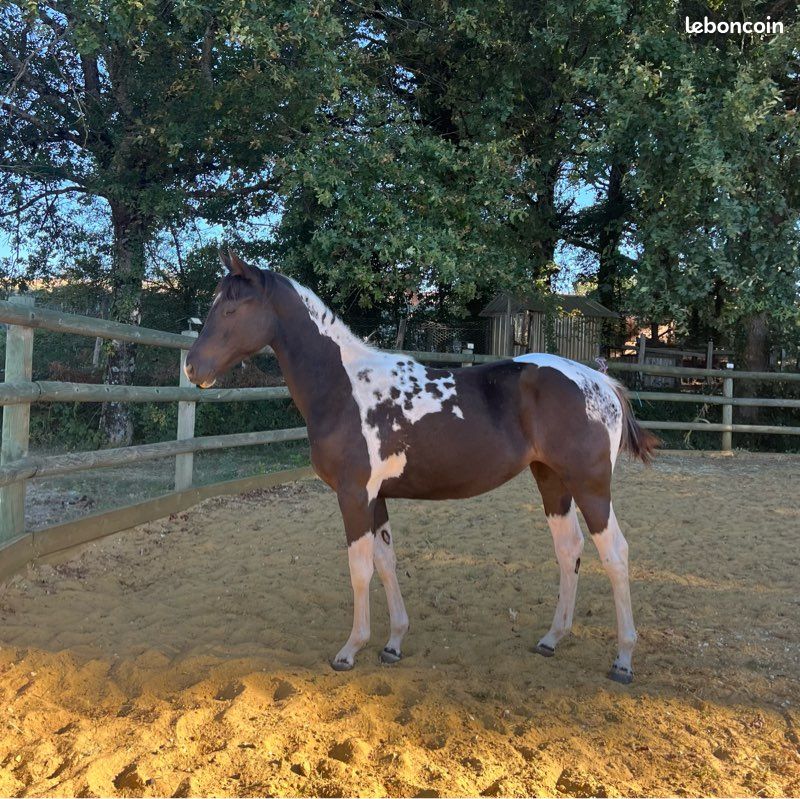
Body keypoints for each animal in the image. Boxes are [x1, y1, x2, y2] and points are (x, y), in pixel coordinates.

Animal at [184, 251, 658, 684]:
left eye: (231, 308)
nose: (192, 366)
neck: (343, 387)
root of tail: (600, 382)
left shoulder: (353, 494)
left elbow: (360, 569)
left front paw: (350, 649)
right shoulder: (375, 498)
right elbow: (386, 561)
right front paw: (393, 643)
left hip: (590, 487)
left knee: (615, 554)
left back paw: (623, 659)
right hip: (552, 482)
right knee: (569, 549)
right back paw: (552, 638)